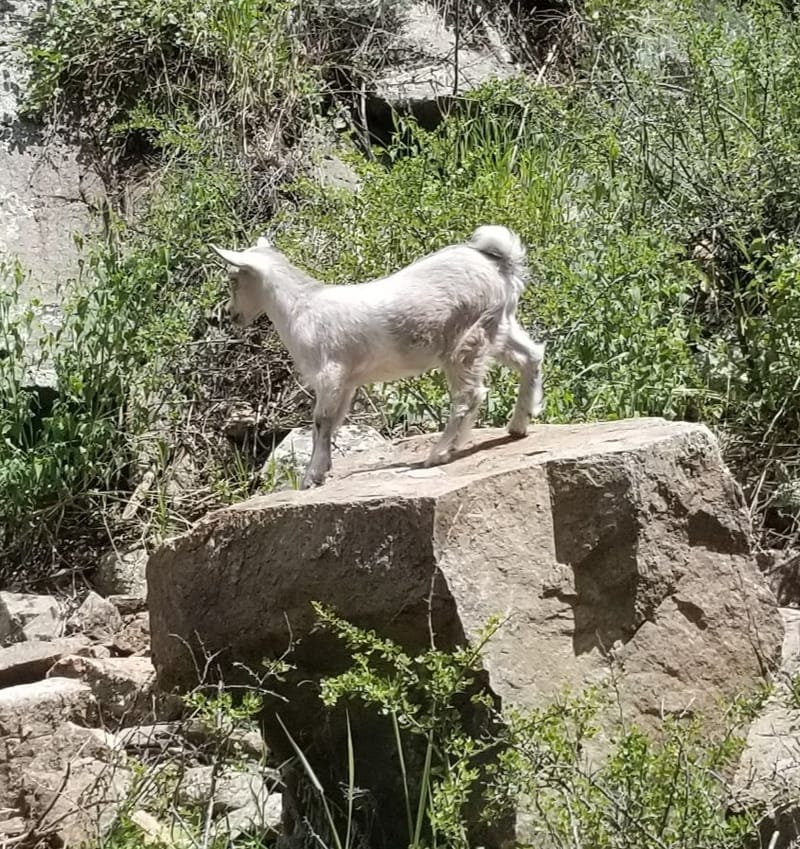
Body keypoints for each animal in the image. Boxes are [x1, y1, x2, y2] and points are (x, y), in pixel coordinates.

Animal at [209, 225, 548, 490]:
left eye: (233, 278)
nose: (229, 314)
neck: (301, 308)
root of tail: (500, 265)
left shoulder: (330, 372)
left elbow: (320, 421)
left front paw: (309, 478)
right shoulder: (346, 382)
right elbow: (332, 424)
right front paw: (323, 471)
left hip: (466, 337)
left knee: (470, 394)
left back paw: (439, 453)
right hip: (499, 326)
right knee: (532, 356)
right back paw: (519, 424)